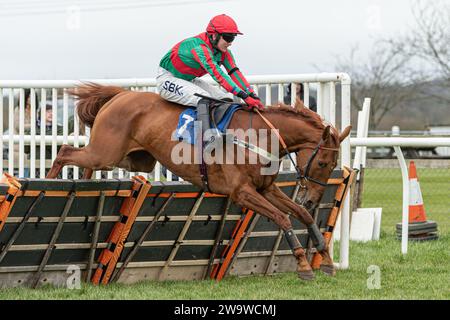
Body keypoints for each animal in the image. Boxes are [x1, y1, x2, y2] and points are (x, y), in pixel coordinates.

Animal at [46, 84, 352, 280]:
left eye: (332, 166)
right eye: (323, 163)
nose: (312, 198)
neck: (259, 136)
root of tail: (120, 95)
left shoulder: (266, 188)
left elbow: (300, 214)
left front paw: (325, 258)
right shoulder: (242, 192)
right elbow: (282, 217)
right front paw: (303, 264)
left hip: (131, 159)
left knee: (83, 161)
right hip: (107, 152)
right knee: (64, 152)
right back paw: (49, 183)